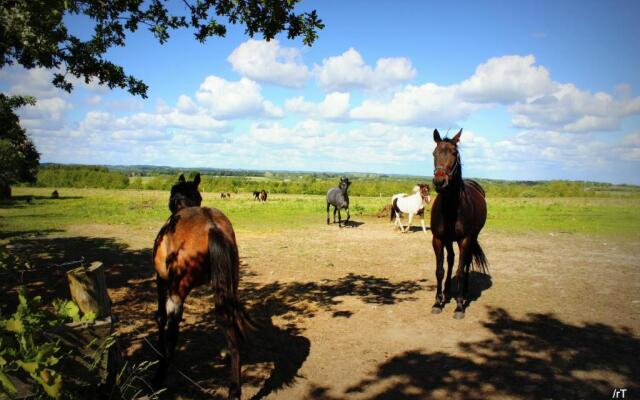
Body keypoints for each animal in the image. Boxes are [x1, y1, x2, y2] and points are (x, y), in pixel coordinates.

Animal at [154, 173, 254, 398]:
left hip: (177, 292)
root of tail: (212, 228)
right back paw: (234, 388)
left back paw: (159, 376)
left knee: (173, 328)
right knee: (229, 322)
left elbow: (161, 318)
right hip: (229, 287)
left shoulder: (161, 280)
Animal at [430, 128, 490, 318]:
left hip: (472, 238)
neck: (451, 207)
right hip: (449, 240)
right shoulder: (438, 239)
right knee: (450, 259)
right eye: (434, 153)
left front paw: (459, 306)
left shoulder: (465, 239)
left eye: (454, 153)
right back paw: (447, 290)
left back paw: (464, 292)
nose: (440, 181)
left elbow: (460, 270)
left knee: (467, 262)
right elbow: (440, 270)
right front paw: (437, 302)